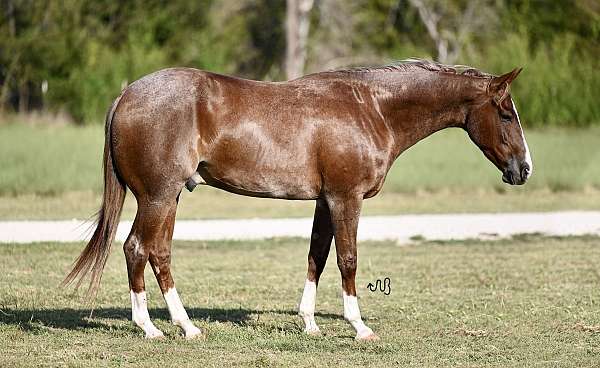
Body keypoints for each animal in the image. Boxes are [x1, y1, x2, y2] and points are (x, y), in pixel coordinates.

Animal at [64, 59, 536, 340]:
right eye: (506, 113)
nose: (524, 169)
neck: (372, 108)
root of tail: (127, 95)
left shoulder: (325, 201)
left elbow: (317, 256)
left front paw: (309, 323)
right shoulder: (346, 198)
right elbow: (348, 259)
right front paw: (358, 326)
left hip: (170, 198)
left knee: (158, 253)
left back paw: (186, 325)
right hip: (158, 197)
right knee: (136, 248)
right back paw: (150, 328)